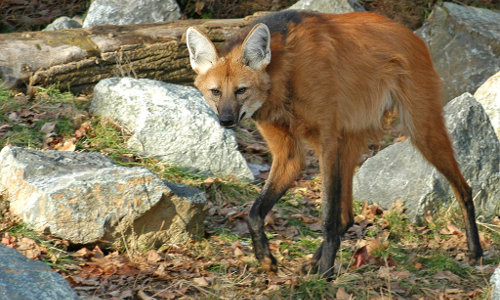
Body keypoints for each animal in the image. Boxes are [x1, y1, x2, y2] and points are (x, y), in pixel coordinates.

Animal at [186, 8, 482, 276]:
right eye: (215, 92)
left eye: (241, 91)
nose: (226, 120)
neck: (286, 75)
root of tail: (414, 35)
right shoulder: (292, 155)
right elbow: (255, 212)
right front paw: (266, 258)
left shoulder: (326, 142)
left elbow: (327, 215)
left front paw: (327, 272)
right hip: (351, 139)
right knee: (347, 216)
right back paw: (312, 262)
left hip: (421, 130)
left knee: (464, 187)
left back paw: (475, 251)